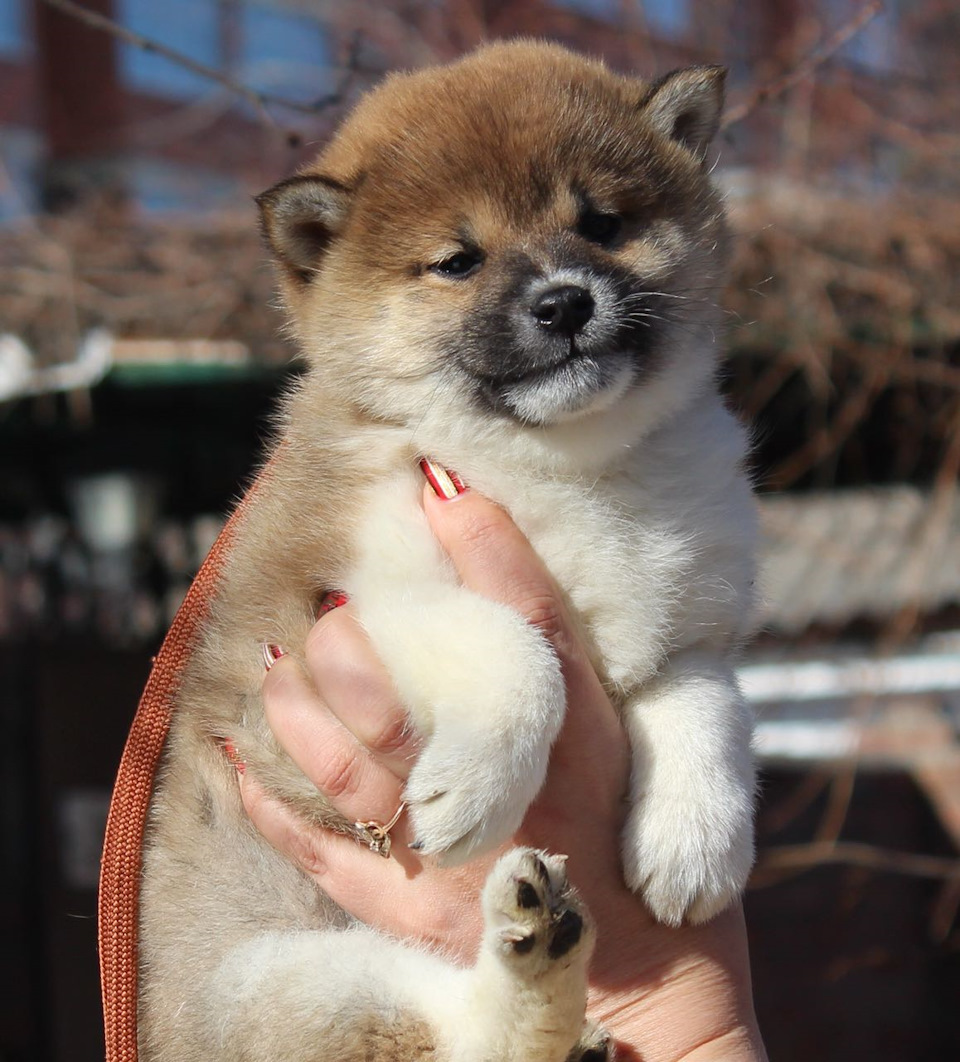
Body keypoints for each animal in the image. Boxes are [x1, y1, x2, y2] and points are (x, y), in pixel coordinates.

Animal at [136, 39, 756, 1062]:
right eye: (457, 261)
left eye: (603, 223)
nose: (564, 302)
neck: (563, 468)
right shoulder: (333, 611)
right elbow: (515, 647)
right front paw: (476, 786)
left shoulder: (685, 615)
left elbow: (706, 693)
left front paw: (696, 837)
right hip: (283, 982)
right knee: (456, 1036)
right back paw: (536, 957)